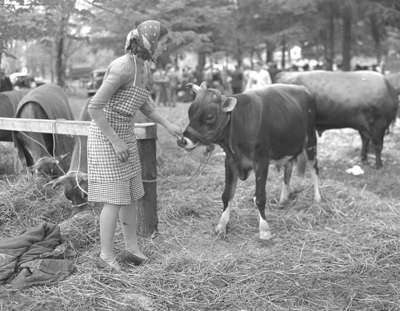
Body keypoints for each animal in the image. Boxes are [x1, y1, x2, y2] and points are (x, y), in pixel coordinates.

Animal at [178, 82, 322, 241]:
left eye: (209, 116)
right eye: (190, 111)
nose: (182, 140)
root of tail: (303, 88)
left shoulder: (261, 161)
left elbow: (259, 197)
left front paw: (264, 229)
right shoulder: (230, 161)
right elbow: (227, 194)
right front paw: (221, 226)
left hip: (310, 141)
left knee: (314, 169)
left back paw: (317, 198)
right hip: (287, 148)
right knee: (288, 168)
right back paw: (283, 199)